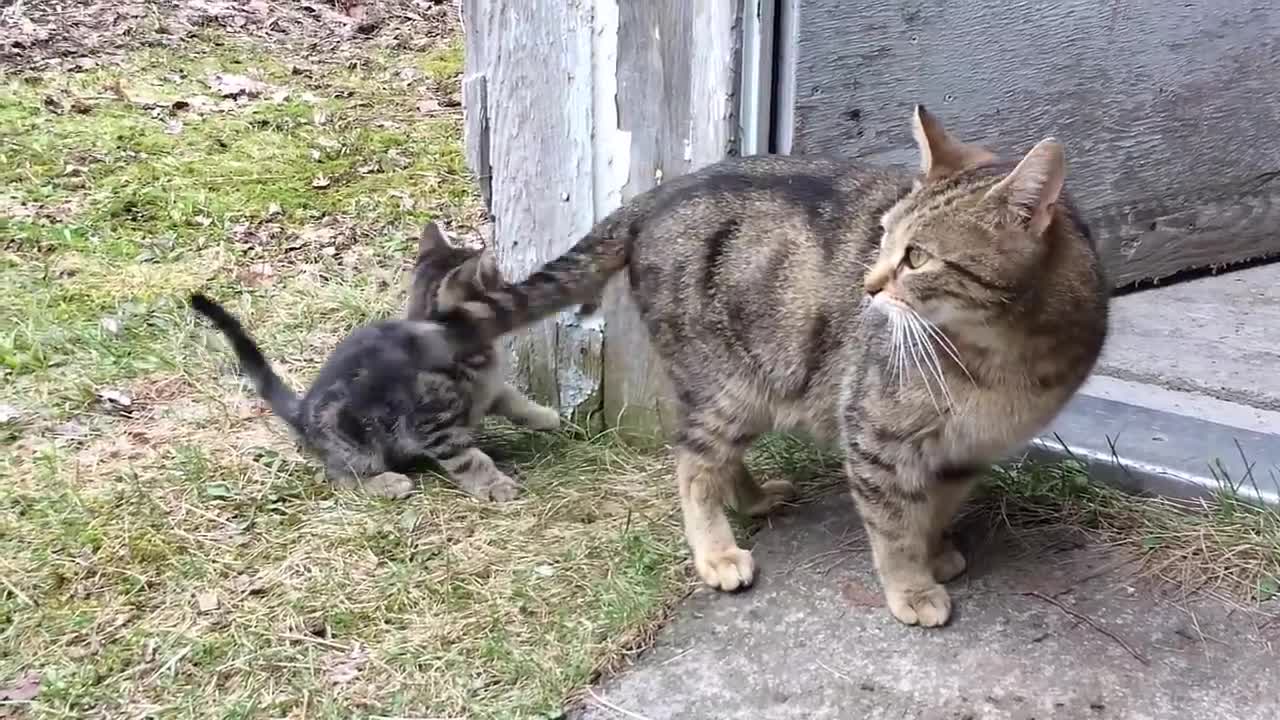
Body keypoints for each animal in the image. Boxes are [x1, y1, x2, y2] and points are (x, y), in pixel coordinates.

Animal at [186, 222, 558, 499]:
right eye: (497, 280)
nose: (512, 283)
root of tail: (301, 414)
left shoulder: (489, 389)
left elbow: (512, 398)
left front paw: (544, 415)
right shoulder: (434, 428)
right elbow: (468, 459)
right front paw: (495, 485)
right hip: (351, 438)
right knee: (340, 476)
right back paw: (385, 483)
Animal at [432, 105, 1111, 622]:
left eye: (916, 256)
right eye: (883, 238)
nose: (868, 286)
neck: (1002, 358)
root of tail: (654, 196)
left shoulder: (965, 453)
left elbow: (935, 510)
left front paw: (935, 551)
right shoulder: (874, 435)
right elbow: (894, 526)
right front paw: (912, 586)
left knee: (718, 458)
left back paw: (755, 499)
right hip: (729, 384)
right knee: (692, 463)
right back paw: (717, 552)